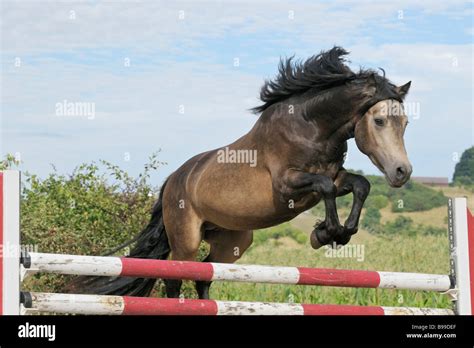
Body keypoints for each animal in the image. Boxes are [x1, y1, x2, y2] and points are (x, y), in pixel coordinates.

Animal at [66, 47, 412, 300]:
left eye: (406, 123)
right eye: (379, 121)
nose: (402, 172)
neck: (312, 127)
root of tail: (171, 182)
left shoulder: (334, 176)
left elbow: (360, 185)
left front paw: (339, 232)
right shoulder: (287, 185)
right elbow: (326, 187)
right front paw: (326, 233)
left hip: (233, 241)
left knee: (204, 275)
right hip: (186, 239)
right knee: (176, 276)